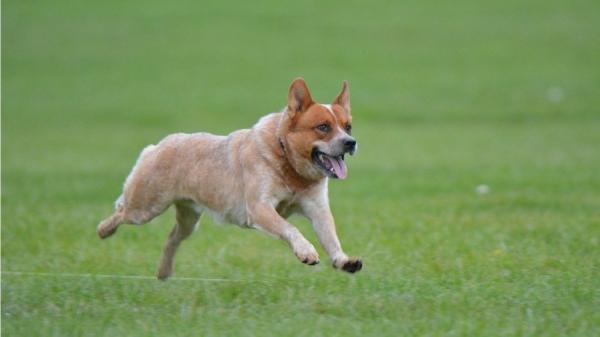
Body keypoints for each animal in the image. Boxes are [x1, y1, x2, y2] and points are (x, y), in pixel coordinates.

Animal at [96, 78, 364, 278]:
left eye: (348, 126)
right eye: (323, 127)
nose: (351, 142)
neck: (289, 164)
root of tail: (160, 144)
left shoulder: (317, 208)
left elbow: (330, 236)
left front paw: (344, 261)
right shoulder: (259, 208)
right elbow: (290, 228)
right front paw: (306, 252)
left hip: (189, 218)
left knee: (173, 237)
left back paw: (164, 272)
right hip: (145, 207)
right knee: (121, 211)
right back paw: (103, 231)